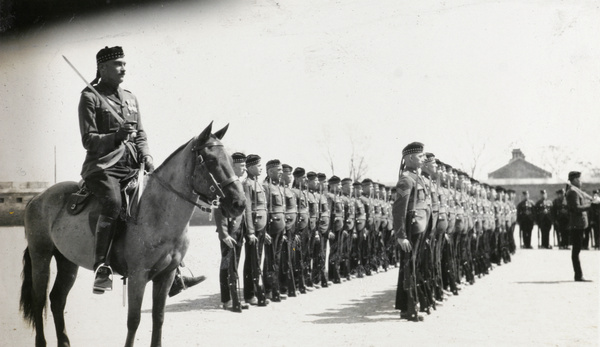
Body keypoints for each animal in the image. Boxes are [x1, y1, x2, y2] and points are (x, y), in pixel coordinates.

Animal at [20, 121, 246, 346]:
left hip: (68, 262)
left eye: (229, 159)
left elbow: (158, 317)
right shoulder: (138, 276)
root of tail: (36, 198)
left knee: (57, 300)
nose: (240, 203)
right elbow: (134, 320)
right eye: (211, 160)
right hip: (41, 257)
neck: (157, 210)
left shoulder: (166, 275)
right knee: (39, 300)